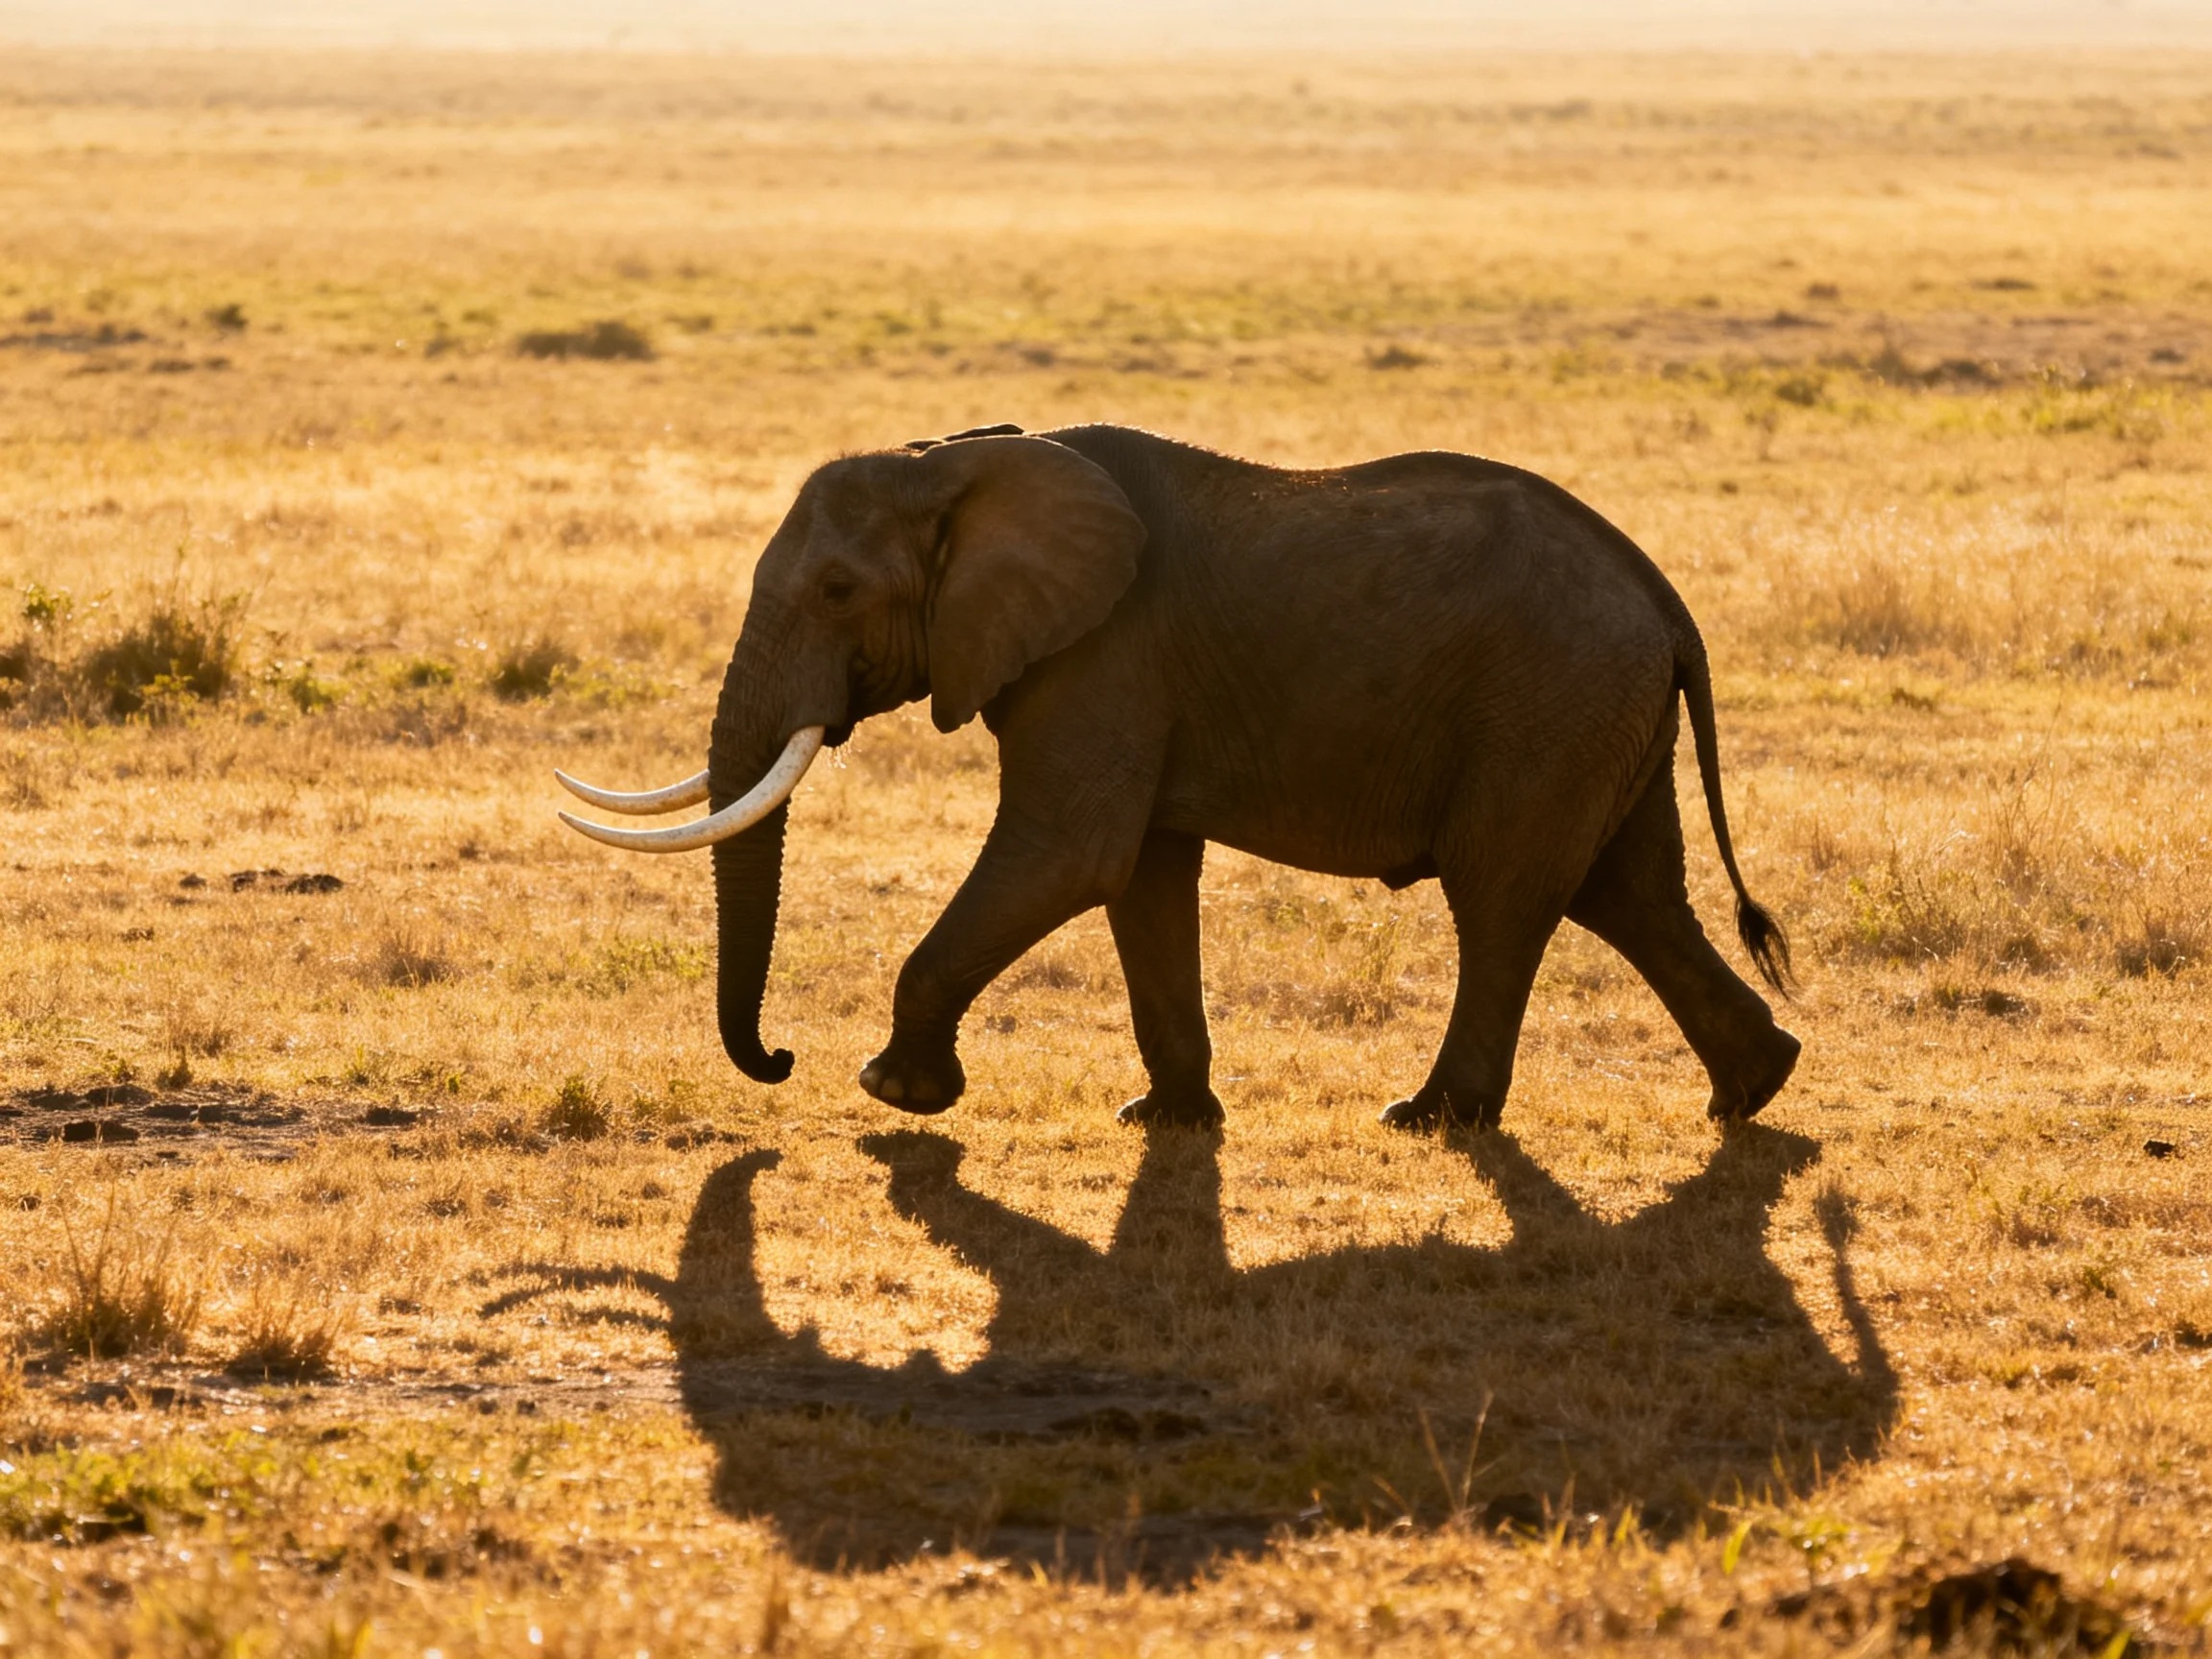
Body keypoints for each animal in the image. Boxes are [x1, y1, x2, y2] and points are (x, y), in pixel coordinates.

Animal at [557, 422, 1799, 1132]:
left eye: (835, 593)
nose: (778, 1058)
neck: (954, 462)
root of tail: (1664, 598)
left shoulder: (1106, 650)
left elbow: (1071, 853)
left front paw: (894, 1093)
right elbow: (1141, 876)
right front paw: (1164, 1117)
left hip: (1551, 701)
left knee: (1504, 899)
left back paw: (1430, 1118)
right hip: (1597, 710)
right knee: (1629, 896)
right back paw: (1755, 1089)